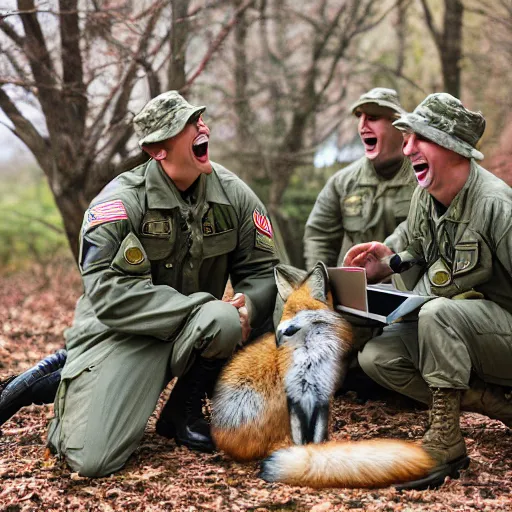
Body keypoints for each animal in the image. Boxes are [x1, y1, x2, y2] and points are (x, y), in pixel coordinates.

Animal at [210, 264, 434, 488]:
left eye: (300, 315)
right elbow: (304, 440)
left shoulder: (322, 396)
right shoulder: (296, 398)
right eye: (287, 315)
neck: (309, 357)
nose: (282, 332)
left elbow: (317, 438)